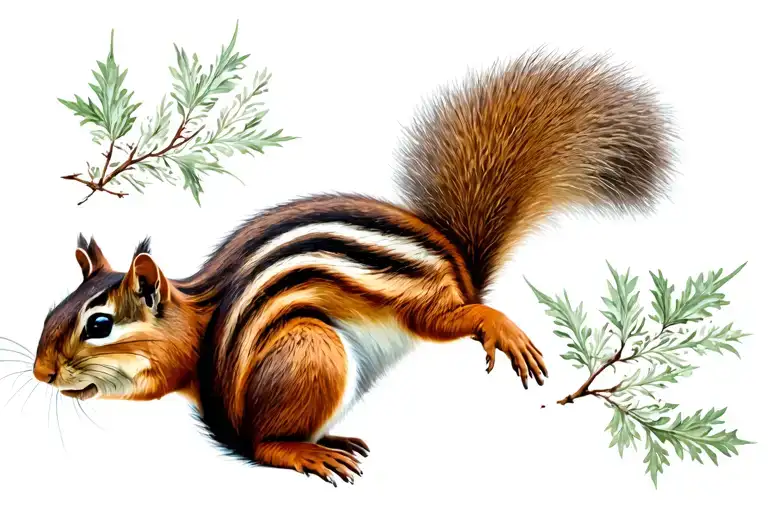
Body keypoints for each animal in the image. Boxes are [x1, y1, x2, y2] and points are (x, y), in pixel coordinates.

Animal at [32, 50, 674, 485]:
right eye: (50, 315)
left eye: (99, 325)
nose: (41, 373)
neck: (196, 313)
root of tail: (456, 266)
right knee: (264, 446)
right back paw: (317, 445)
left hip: (330, 341)